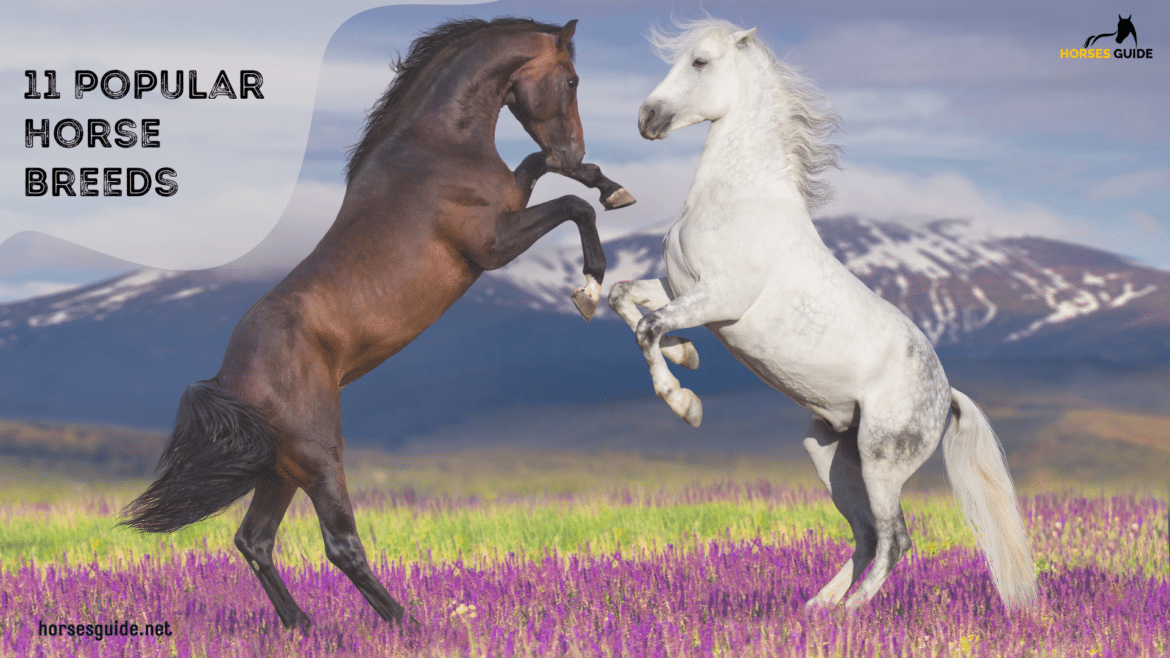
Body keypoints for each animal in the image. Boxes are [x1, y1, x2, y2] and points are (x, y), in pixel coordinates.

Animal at [120, 17, 634, 629]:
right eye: (573, 79)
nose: (572, 144)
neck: (438, 147)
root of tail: (228, 378)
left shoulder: (513, 201)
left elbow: (550, 175)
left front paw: (610, 185)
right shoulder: (493, 245)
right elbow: (574, 207)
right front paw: (590, 287)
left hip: (281, 468)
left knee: (255, 540)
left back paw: (302, 626)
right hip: (320, 455)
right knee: (339, 544)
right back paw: (407, 622)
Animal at [608, 17, 1038, 612]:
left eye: (700, 62)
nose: (648, 119)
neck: (739, 197)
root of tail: (946, 395)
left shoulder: (719, 299)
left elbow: (649, 326)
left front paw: (685, 403)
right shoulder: (679, 286)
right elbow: (623, 297)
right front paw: (687, 355)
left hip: (882, 461)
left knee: (896, 539)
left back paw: (851, 613)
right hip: (829, 453)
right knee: (866, 535)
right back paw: (816, 609)